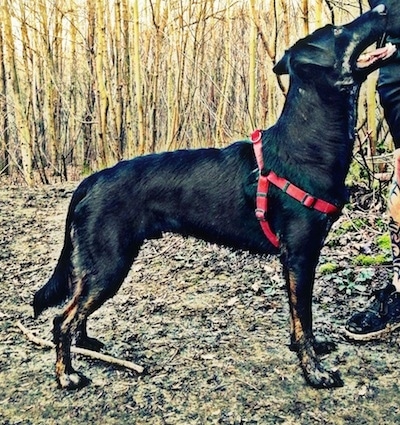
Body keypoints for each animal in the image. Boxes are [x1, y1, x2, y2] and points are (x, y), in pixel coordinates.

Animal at [33, 4, 394, 390]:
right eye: (339, 31)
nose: (382, 7)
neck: (308, 144)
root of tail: (91, 179)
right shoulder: (300, 255)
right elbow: (304, 316)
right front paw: (314, 370)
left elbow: (300, 320)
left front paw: (309, 348)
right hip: (109, 263)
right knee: (62, 319)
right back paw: (66, 374)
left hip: (96, 265)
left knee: (75, 307)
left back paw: (85, 342)